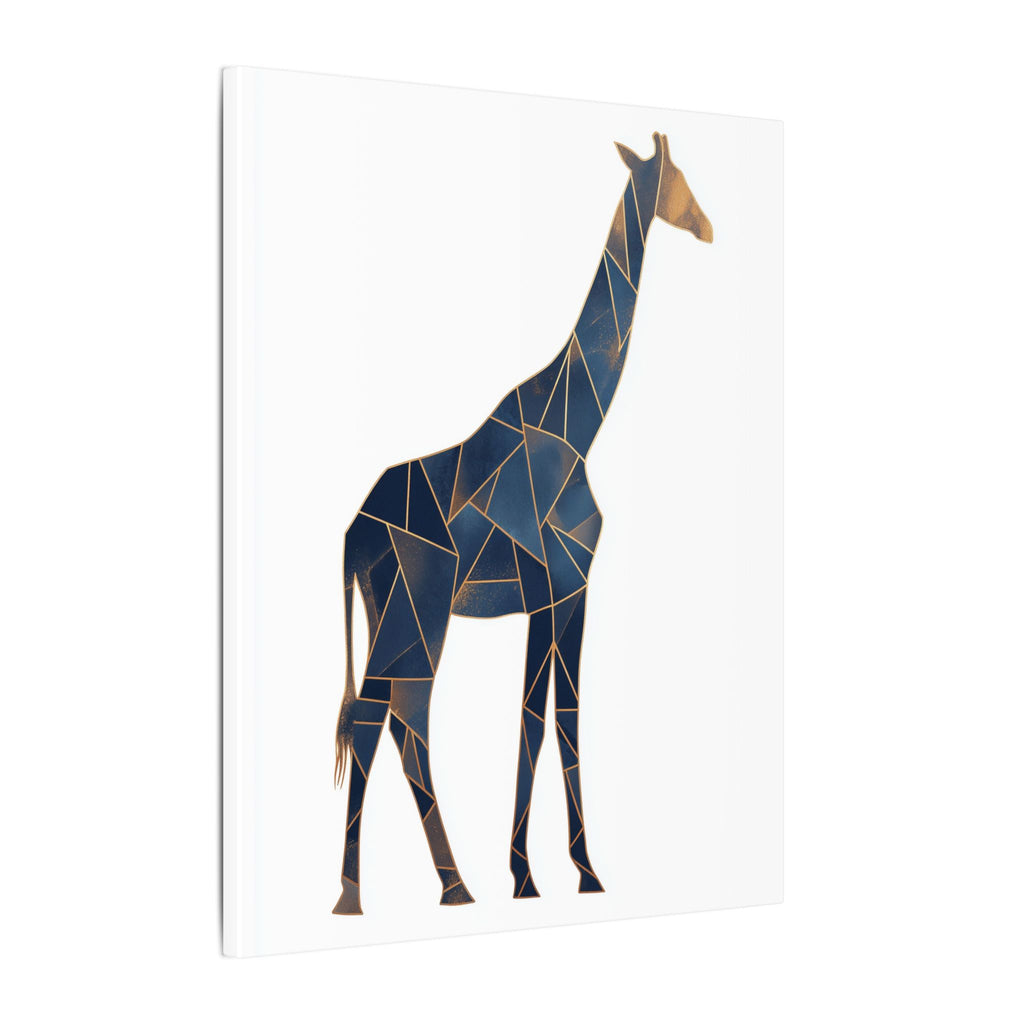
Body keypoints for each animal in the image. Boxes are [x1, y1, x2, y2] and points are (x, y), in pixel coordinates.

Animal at [332, 132, 712, 915]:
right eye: (679, 178)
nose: (709, 226)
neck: (581, 422)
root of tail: (354, 533)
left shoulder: (556, 593)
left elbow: (543, 717)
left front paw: (544, 874)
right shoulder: (565, 583)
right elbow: (554, 716)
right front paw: (567, 873)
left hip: (390, 610)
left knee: (390, 719)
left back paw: (434, 885)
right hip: (419, 612)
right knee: (393, 715)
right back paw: (379, 894)